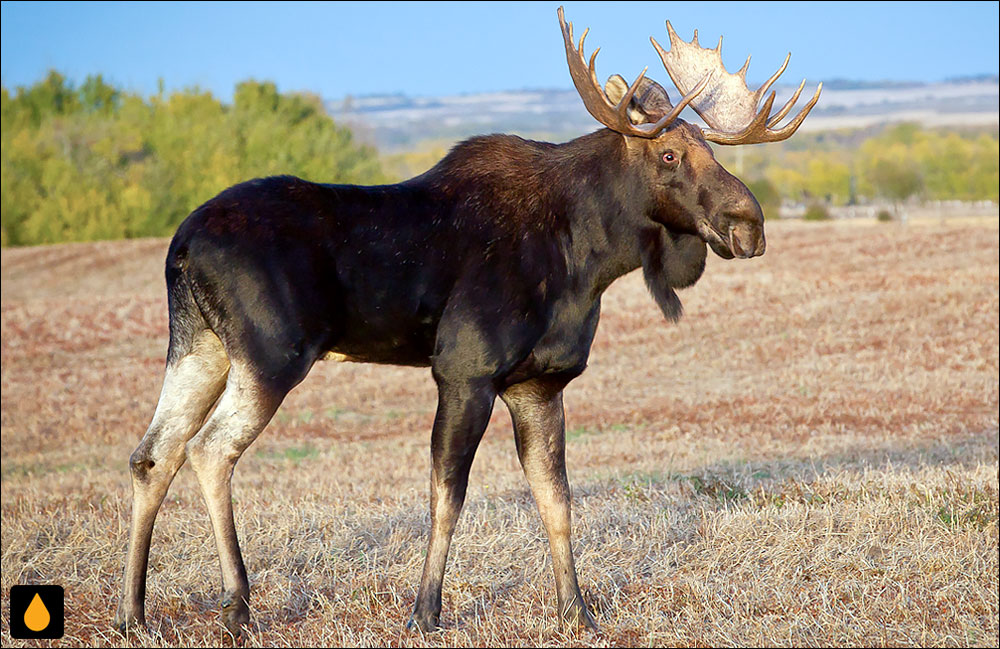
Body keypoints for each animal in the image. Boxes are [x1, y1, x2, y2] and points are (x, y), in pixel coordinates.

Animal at [115, 5, 820, 636]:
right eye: (670, 153)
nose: (748, 225)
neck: (588, 256)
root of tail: (181, 244)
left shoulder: (540, 384)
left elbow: (556, 500)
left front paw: (577, 611)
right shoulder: (464, 372)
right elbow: (447, 496)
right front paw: (425, 613)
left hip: (199, 347)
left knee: (153, 454)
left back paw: (134, 614)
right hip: (270, 355)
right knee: (209, 450)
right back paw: (237, 607)